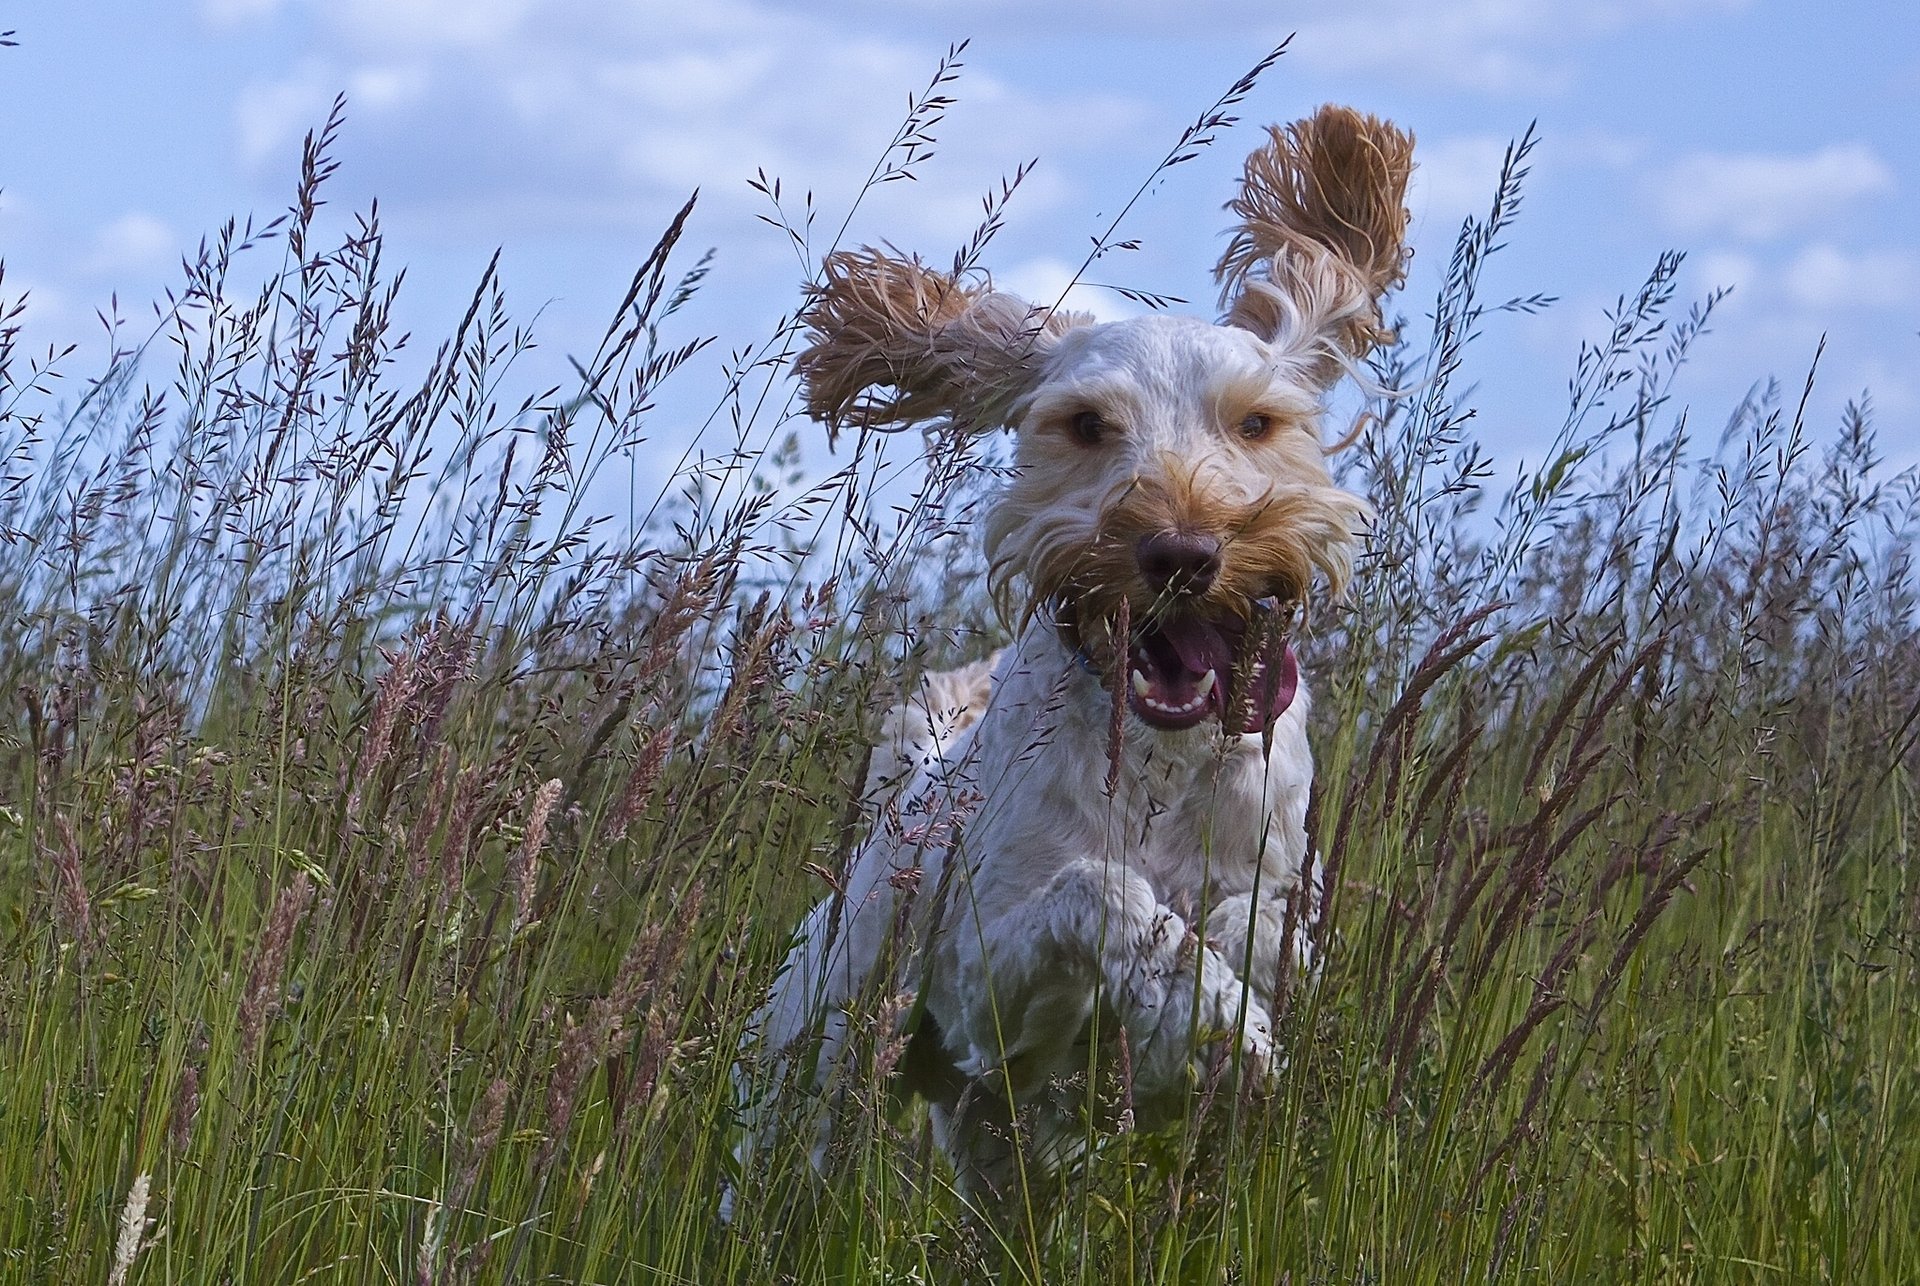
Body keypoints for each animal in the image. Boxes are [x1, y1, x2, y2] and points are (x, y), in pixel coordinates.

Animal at [729, 103, 1413, 1220]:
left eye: (1256, 422)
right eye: (1088, 425)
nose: (1182, 552)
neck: (1165, 766)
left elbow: (1263, 923)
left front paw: (1229, 990)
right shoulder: (970, 991)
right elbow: (1107, 893)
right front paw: (1209, 1014)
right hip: (812, 1105)